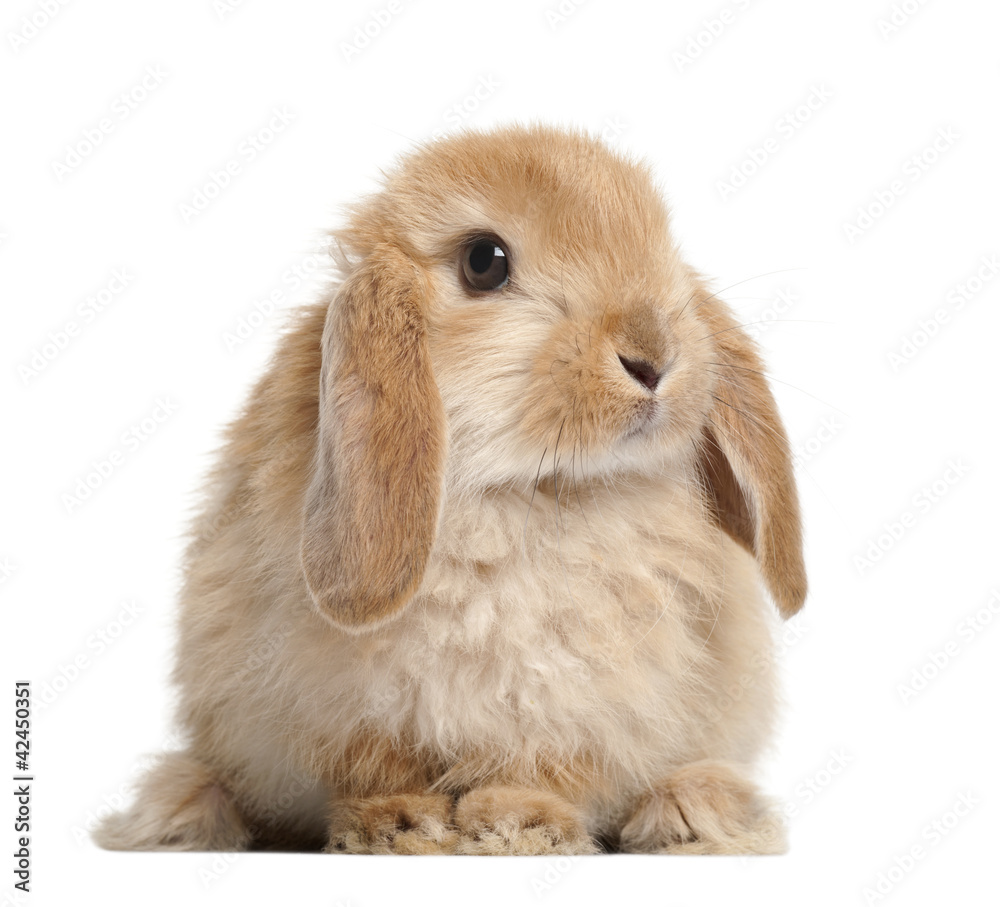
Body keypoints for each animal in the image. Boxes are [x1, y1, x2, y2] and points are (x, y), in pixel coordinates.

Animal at [95, 122, 804, 860]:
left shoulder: (585, 700)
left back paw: (692, 809)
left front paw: (520, 824)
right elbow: (380, 766)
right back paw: (182, 808)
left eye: (664, 247)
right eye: (484, 262)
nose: (654, 357)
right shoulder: (349, 708)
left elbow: (548, 765)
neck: (524, 492)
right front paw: (400, 824)